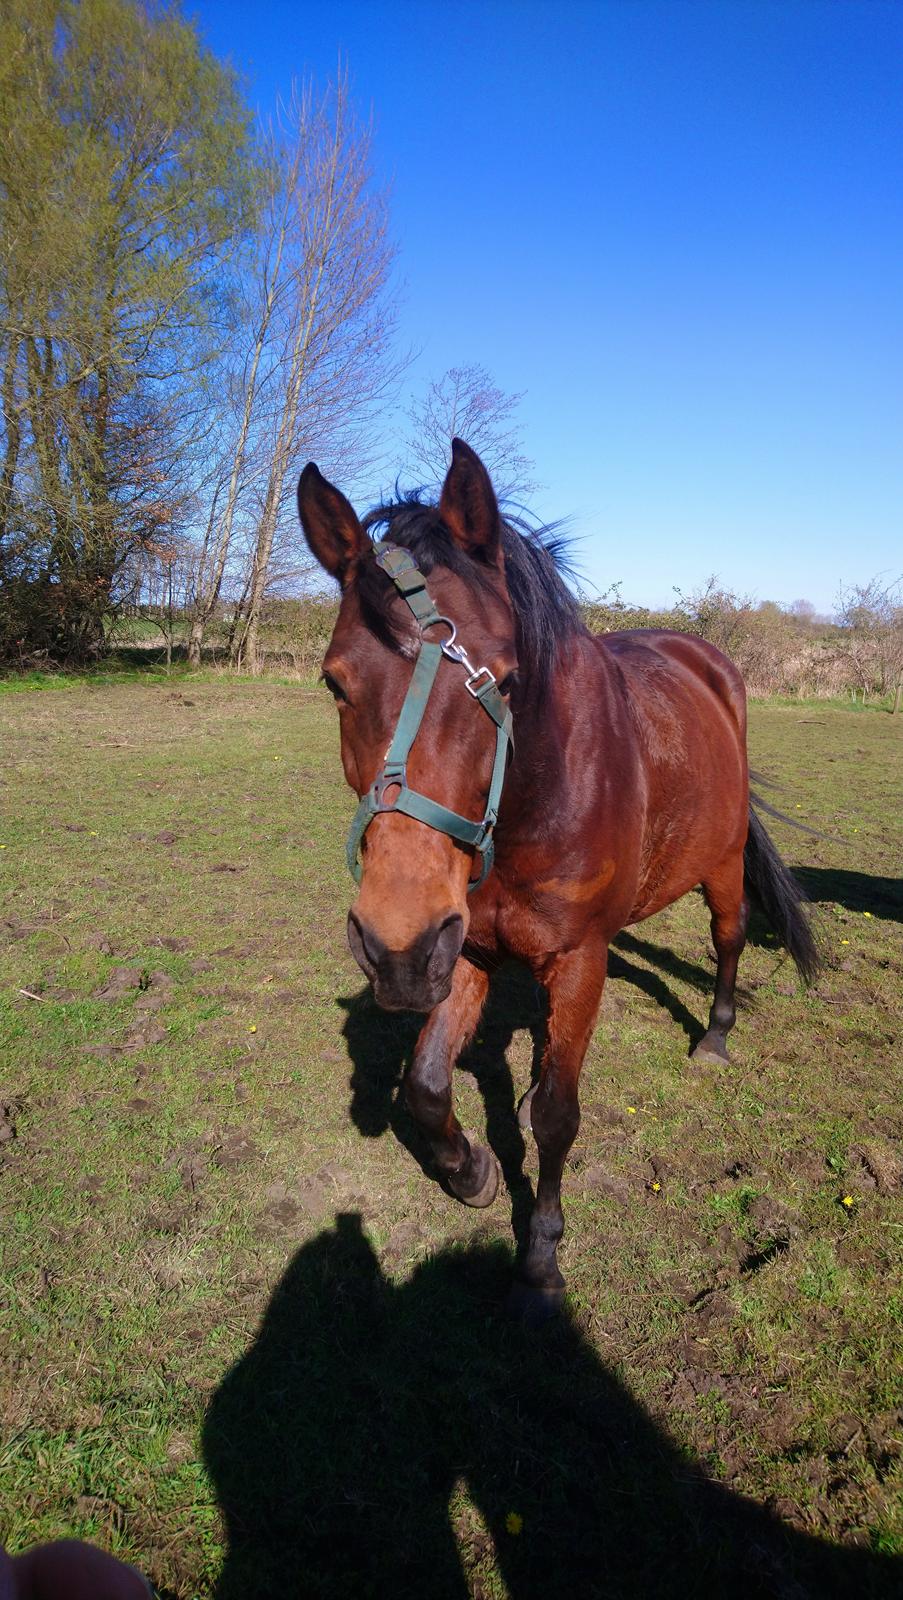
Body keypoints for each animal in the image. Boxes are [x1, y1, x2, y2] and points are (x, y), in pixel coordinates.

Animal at [296, 435, 819, 1312]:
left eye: (504, 680)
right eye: (335, 681)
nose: (392, 946)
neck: (531, 805)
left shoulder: (576, 960)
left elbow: (557, 1118)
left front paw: (540, 1251)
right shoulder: (460, 949)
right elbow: (426, 1087)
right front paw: (470, 1171)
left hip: (717, 867)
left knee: (728, 939)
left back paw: (714, 1036)